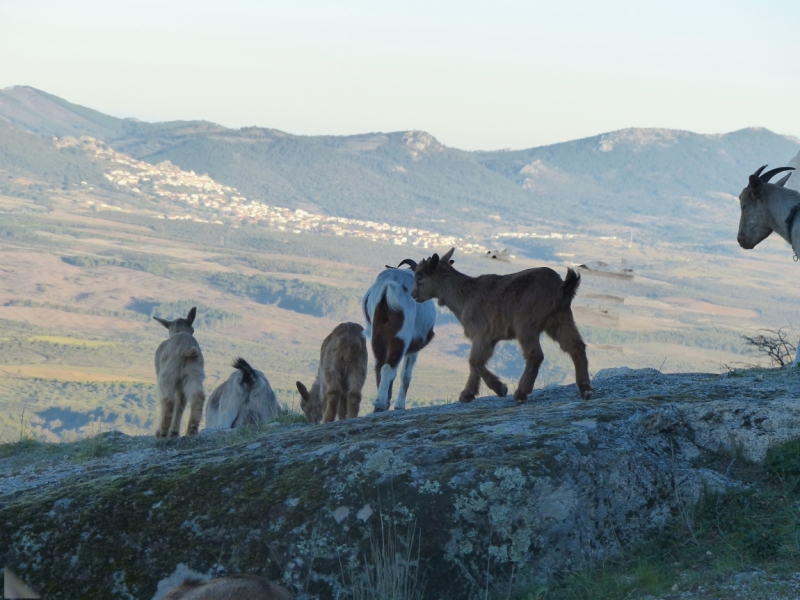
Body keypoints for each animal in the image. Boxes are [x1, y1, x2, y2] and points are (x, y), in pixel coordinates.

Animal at [362, 270, 438, 410]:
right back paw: (381, 403)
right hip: (400, 337)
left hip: (377, 337)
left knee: (379, 367)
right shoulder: (413, 350)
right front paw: (399, 405)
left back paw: (380, 404)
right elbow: (406, 376)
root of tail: (387, 288)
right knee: (388, 368)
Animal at [404, 246, 592, 406]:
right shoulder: (486, 338)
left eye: (419, 277)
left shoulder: (483, 334)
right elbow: (475, 364)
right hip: (560, 318)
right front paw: (467, 395)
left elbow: (474, 361)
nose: (413, 294)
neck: (465, 295)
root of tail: (561, 287)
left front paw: (500, 388)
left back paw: (521, 394)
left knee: (535, 355)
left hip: (526, 324)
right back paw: (586, 390)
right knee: (575, 346)